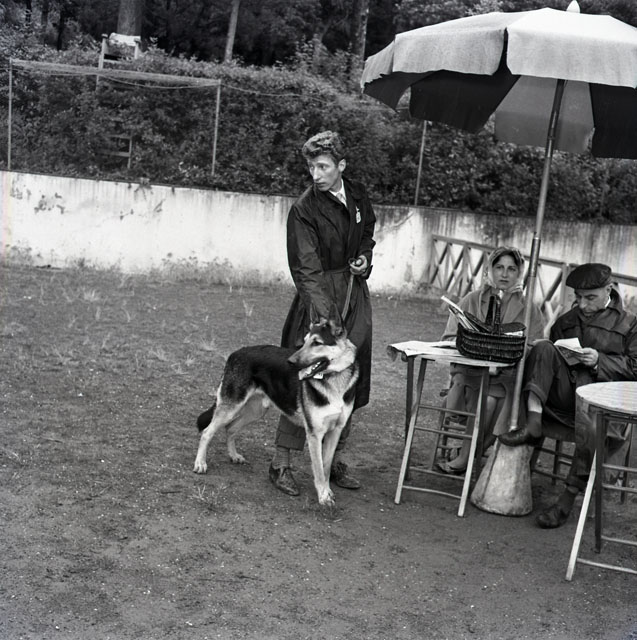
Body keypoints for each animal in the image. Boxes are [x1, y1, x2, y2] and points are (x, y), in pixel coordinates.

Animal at [193, 303, 359, 507]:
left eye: (317, 343)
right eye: (304, 342)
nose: (291, 362)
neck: (335, 379)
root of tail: (236, 352)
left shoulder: (335, 431)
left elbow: (326, 467)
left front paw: (327, 491)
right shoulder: (315, 433)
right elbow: (319, 469)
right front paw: (323, 496)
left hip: (255, 411)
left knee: (230, 429)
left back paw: (234, 455)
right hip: (231, 407)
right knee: (207, 432)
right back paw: (200, 463)